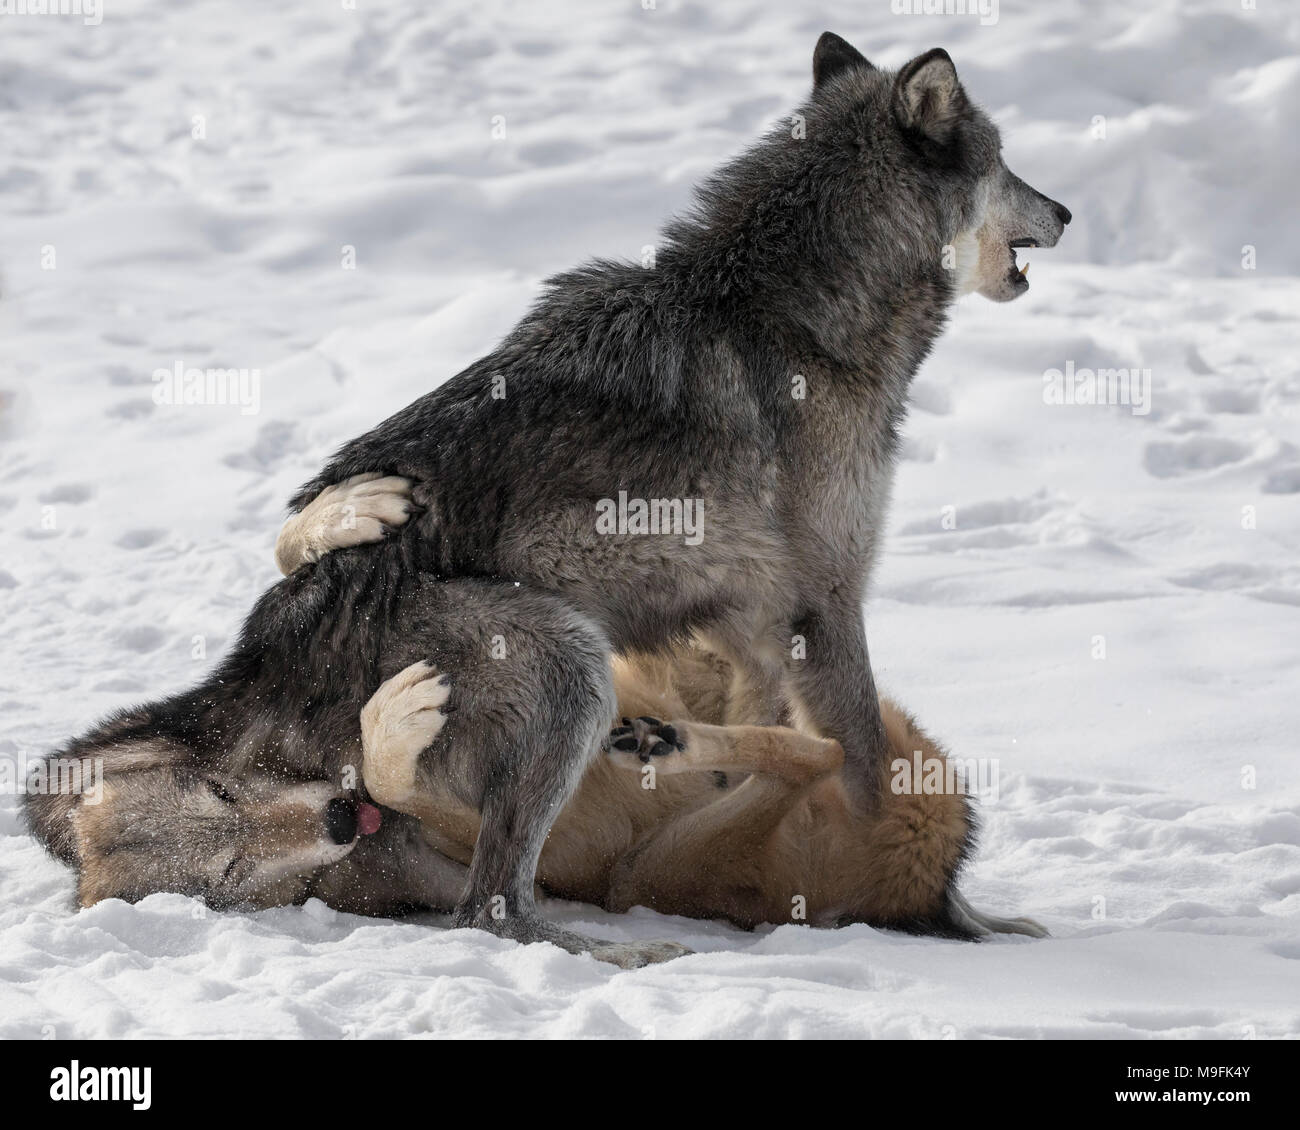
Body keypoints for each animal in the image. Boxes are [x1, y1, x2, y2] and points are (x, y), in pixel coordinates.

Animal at [25, 32, 1071, 962]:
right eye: (1008, 161)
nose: (1065, 211)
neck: (787, 314)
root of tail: (253, 663)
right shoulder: (827, 599)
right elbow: (863, 766)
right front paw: (937, 903)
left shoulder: (748, 622)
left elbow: (788, 731)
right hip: (572, 660)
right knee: (490, 907)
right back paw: (620, 948)